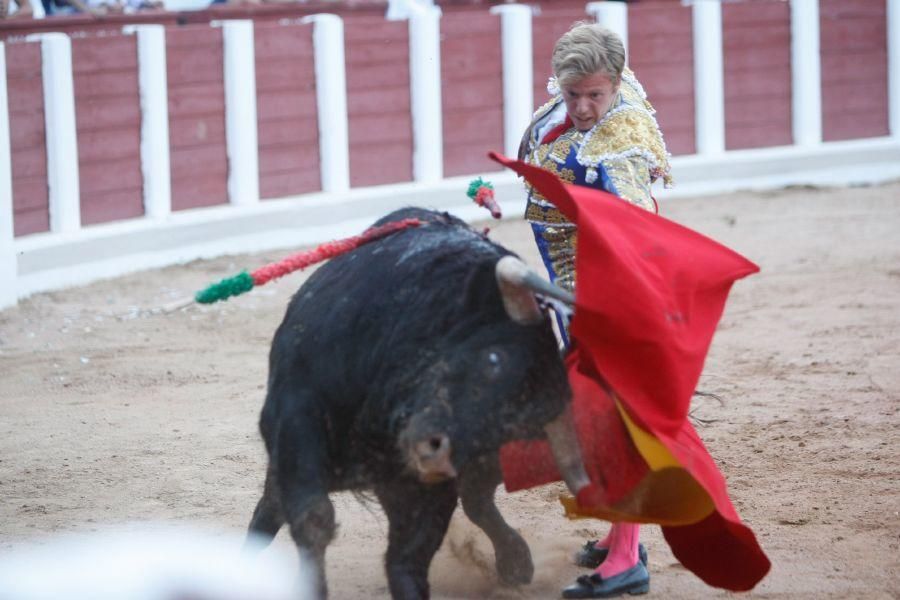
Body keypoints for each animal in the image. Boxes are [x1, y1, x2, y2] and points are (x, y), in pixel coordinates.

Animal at [246, 209, 592, 596]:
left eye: (512, 427)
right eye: (493, 359)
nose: (435, 451)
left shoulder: (426, 486)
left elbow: (407, 559)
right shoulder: (295, 414)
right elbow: (313, 518)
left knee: (476, 500)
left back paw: (514, 562)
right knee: (270, 508)